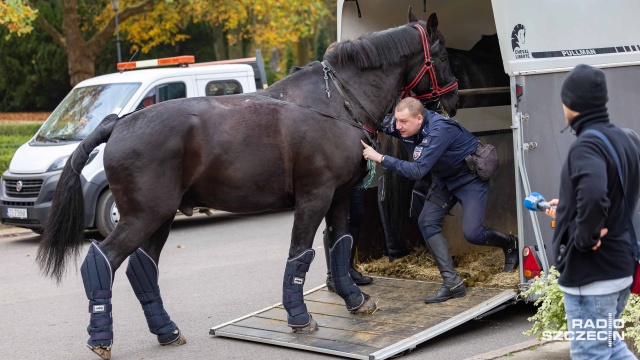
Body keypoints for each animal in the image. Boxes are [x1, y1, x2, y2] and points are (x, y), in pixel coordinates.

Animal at [35, 8, 458, 360]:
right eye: (443, 55)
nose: (453, 99)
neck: (334, 102)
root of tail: (119, 122)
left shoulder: (338, 197)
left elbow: (340, 245)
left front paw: (354, 299)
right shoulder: (314, 197)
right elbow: (300, 254)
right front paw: (299, 317)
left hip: (160, 217)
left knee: (143, 267)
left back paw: (166, 330)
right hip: (143, 216)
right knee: (101, 260)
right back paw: (101, 339)